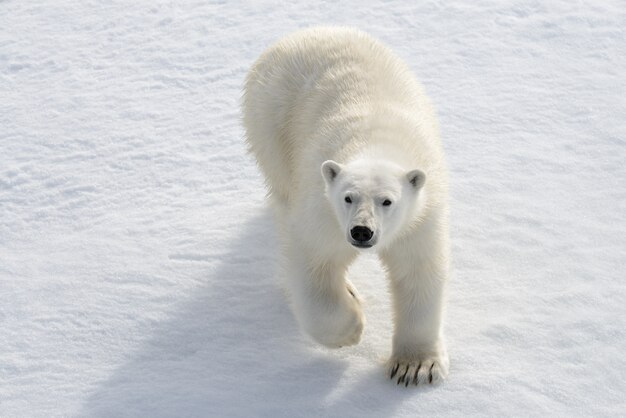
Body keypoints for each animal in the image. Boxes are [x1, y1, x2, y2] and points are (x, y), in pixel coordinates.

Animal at [240, 27, 448, 386]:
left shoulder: (419, 218)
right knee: (282, 200)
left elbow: (417, 272)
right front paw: (351, 326)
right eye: (348, 197)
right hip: (271, 125)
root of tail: (300, 34)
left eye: (387, 201)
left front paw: (414, 367)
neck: (376, 142)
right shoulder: (324, 212)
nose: (362, 231)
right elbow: (312, 262)